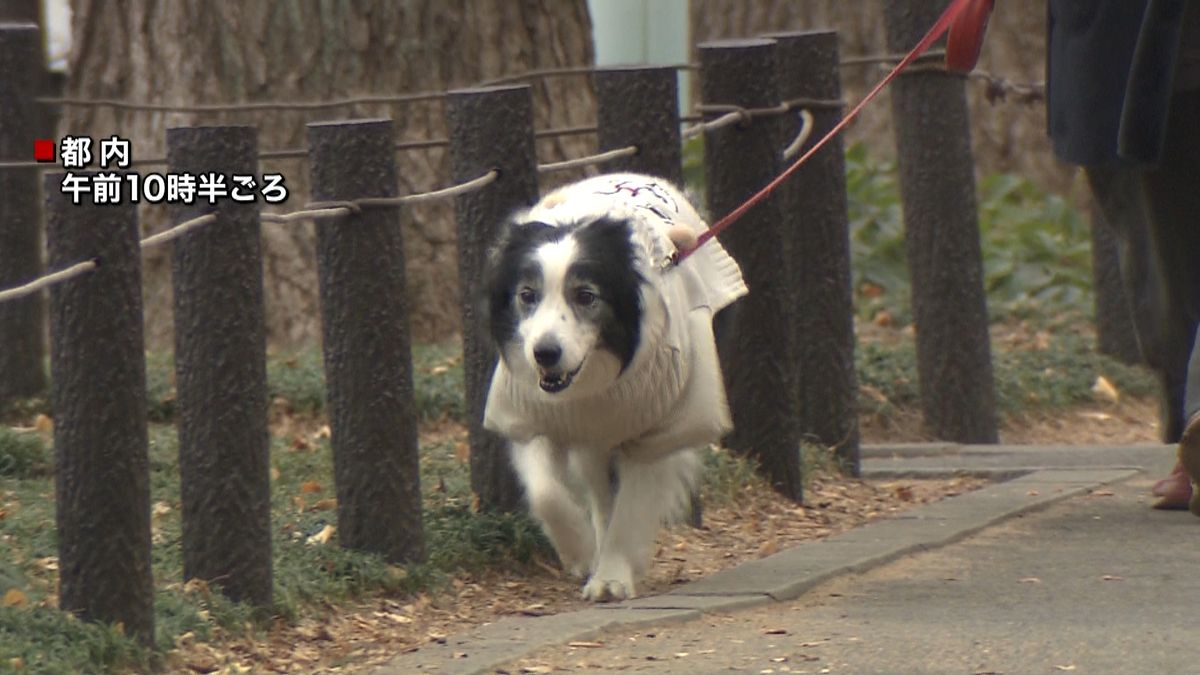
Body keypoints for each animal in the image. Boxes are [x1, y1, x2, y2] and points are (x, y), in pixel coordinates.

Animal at [482, 172, 744, 598]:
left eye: (586, 295)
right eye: (527, 295)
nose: (545, 354)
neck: (591, 387)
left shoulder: (659, 427)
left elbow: (633, 504)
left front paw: (610, 578)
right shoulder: (530, 413)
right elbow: (546, 493)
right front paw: (581, 551)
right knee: (597, 486)